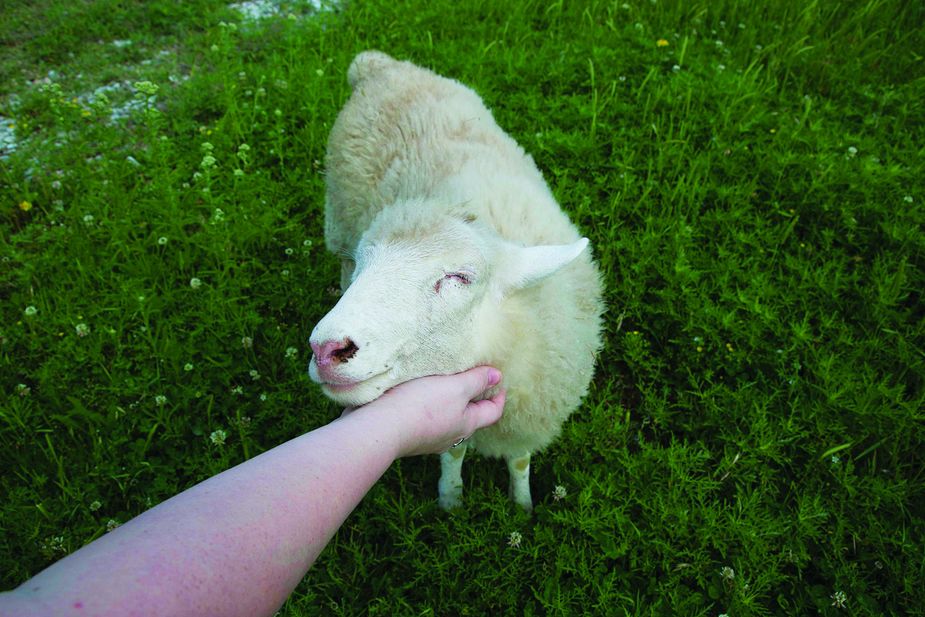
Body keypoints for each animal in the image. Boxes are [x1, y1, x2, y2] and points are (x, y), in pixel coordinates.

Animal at [306, 50, 604, 510]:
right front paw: (451, 499)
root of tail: (381, 66)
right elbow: (453, 453)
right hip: (337, 219)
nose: (326, 349)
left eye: (459, 277)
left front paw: (522, 506)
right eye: (364, 265)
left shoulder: (530, 416)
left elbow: (520, 461)